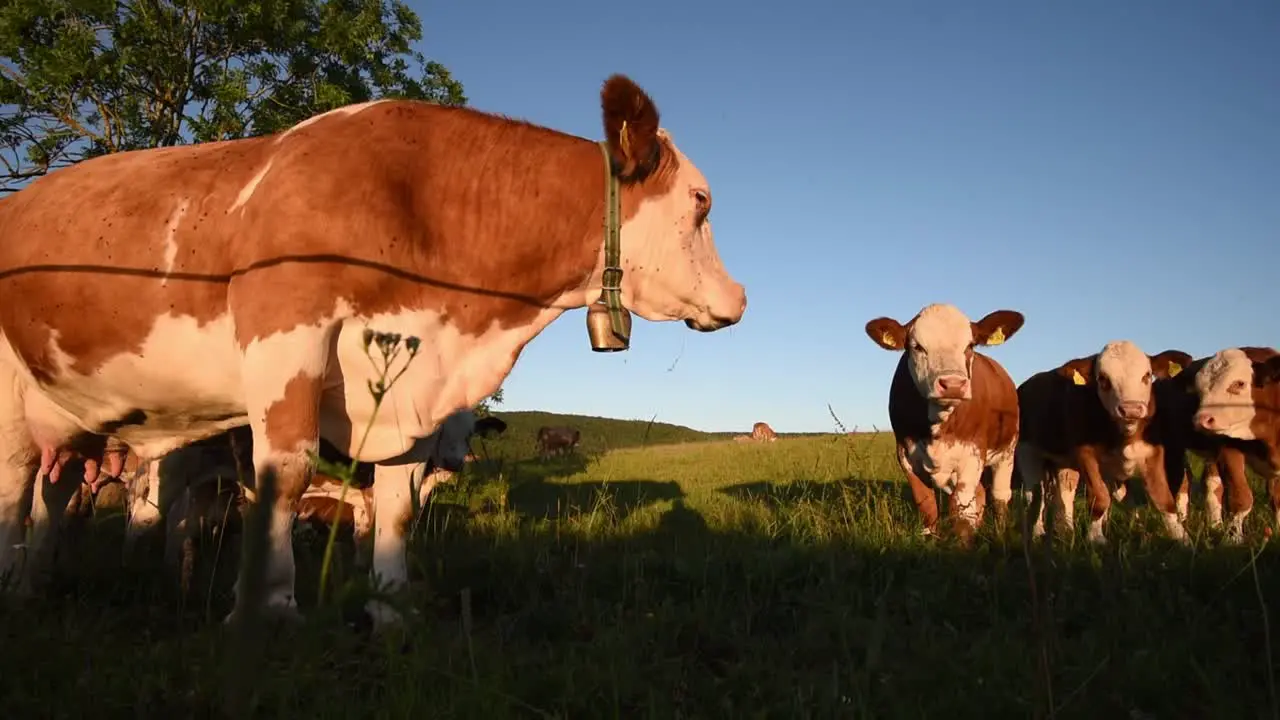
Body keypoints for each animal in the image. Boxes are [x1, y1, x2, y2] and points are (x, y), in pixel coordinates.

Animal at [0, 71, 747, 622]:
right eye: (702, 201)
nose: (738, 297)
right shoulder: (285, 327)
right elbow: (286, 472)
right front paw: (267, 611)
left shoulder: (412, 381)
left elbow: (397, 500)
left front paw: (390, 610)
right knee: (21, 486)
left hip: (74, 416)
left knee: (56, 492)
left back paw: (35, 586)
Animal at [865, 301, 1024, 538]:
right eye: (917, 347)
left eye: (970, 345)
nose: (953, 384)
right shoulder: (906, 456)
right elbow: (928, 508)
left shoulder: (972, 455)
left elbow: (961, 515)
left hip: (1007, 451)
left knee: (999, 496)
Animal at [1013, 340, 1192, 543]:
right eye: (1103, 379)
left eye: (1147, 375)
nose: (1131, 409)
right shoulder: (1086, 455)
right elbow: (1100, 498)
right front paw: (1096, 537)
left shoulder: (1153, 452)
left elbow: (1163, 498)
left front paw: (1182, 537)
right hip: (1027, 453)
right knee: (1035, 495)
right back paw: (1037, 531)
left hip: (1063, 463)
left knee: (1065, 493)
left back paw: (1067, 529)